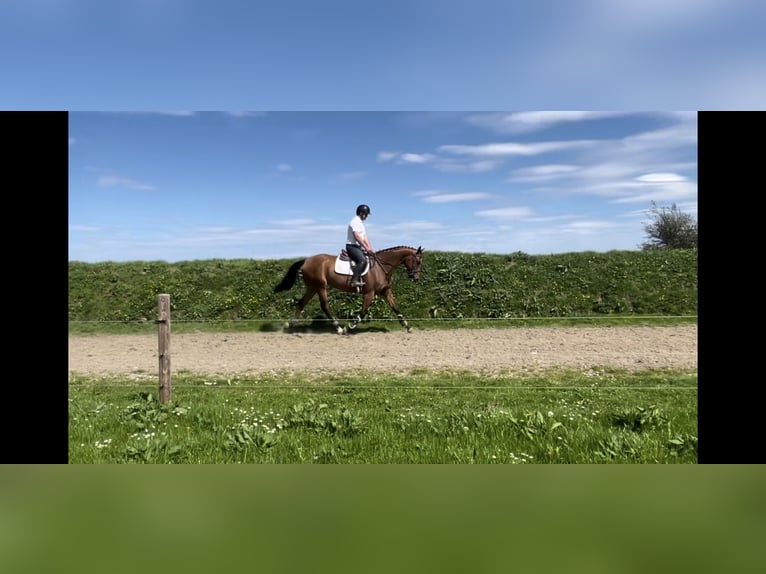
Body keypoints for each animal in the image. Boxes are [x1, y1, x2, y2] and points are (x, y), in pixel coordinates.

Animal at [274, 245, 426, 336]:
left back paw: (290, 324)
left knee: (301, 303)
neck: (380, 267)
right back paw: (339, 328)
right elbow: (363, 313)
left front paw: (407, 326)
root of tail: (306, 261)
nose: (416, 278)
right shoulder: (369, 293)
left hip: (312, 287)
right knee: (324, 306)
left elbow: (395, 307)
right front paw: (349, 327)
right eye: (418, 262)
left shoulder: (385, 291)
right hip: (321, 286)